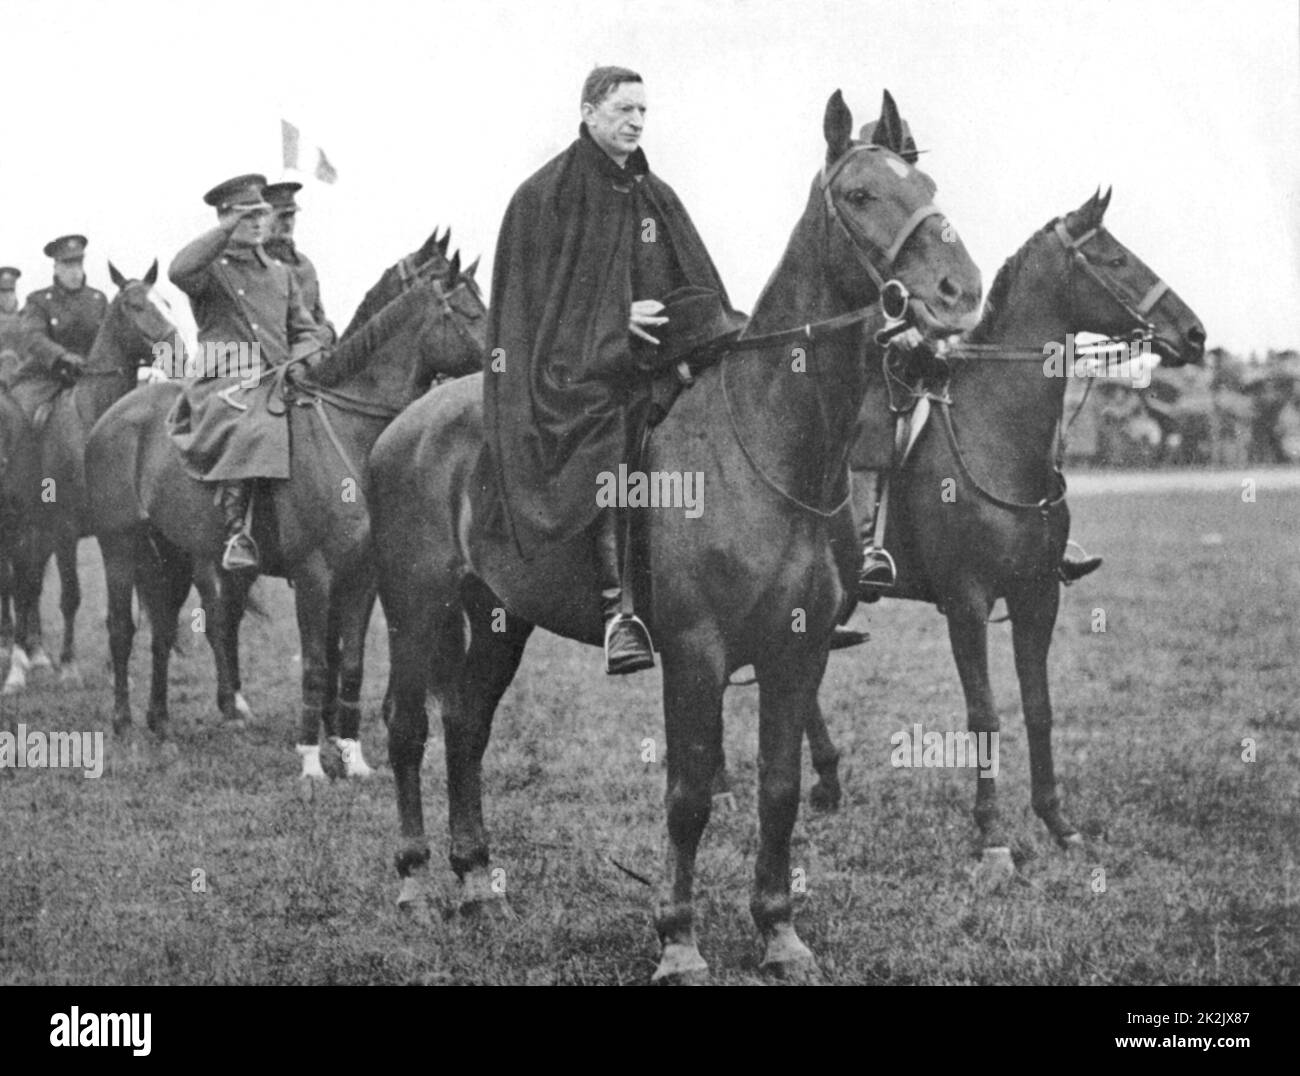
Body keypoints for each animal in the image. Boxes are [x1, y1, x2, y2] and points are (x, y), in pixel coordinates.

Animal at [1, 265, 178, 691]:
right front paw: (68, 665)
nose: (175, 344)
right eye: (135, 305)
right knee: (14, 585)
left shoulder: (111, 529)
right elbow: (71, 596)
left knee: (28, 584)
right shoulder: (65, 529)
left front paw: (114, 669)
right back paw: (17, 655)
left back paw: (34, 653)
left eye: (166, 299)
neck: (92, 424)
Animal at [85, 259, 488, 758]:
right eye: (471, 313)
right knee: (123, 629)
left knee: (162, 628)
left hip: (170, 554)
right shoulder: (314, 572)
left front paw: (345, 743)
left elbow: (348, 661)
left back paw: (160, 721)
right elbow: (318, 661)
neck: (353, 434)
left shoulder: (363, 573)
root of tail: (113, 416)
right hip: (119, 546)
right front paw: (317, 745)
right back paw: (125, 722)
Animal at [371, 90, 977, 982]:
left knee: (467, 728)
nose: (959, 292)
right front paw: (678, 939)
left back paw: (478, 883)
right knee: (408, 729)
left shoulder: (798, 652)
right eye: (862, 194)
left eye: (928, 184)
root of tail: (403, 427)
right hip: (416, 611)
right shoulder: (696, 652)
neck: (767, 443)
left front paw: (779, 933)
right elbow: (689, 795)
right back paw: (414, 884)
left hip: (500, 619)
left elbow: (778, 791)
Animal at [800, 189, 1206, 883]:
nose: (1196, 334)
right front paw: (992, 837)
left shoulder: (1038, 594)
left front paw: (1059, 825)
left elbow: (1038, 709)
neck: (998, 436)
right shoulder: (966, 603)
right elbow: (985, 714)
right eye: (1114, 258)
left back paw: (825, 782)